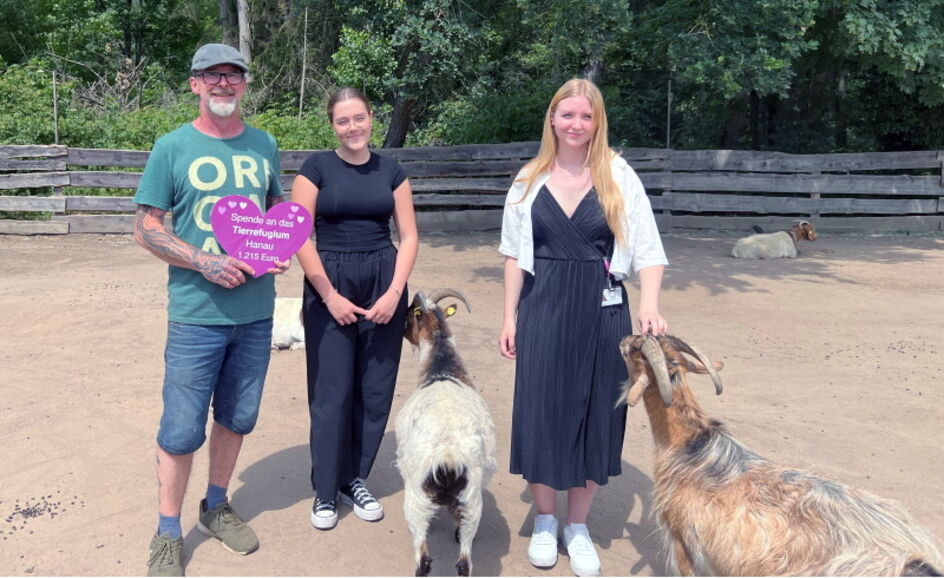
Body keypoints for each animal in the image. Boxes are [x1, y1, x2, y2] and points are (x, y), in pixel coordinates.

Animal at [396, 288, 498, 576]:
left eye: (409, 313)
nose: (401, 332)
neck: (441, 368)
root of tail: (448, 455)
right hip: (471, 502)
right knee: (464, 561)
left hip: (416, 499)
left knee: (423, 559)